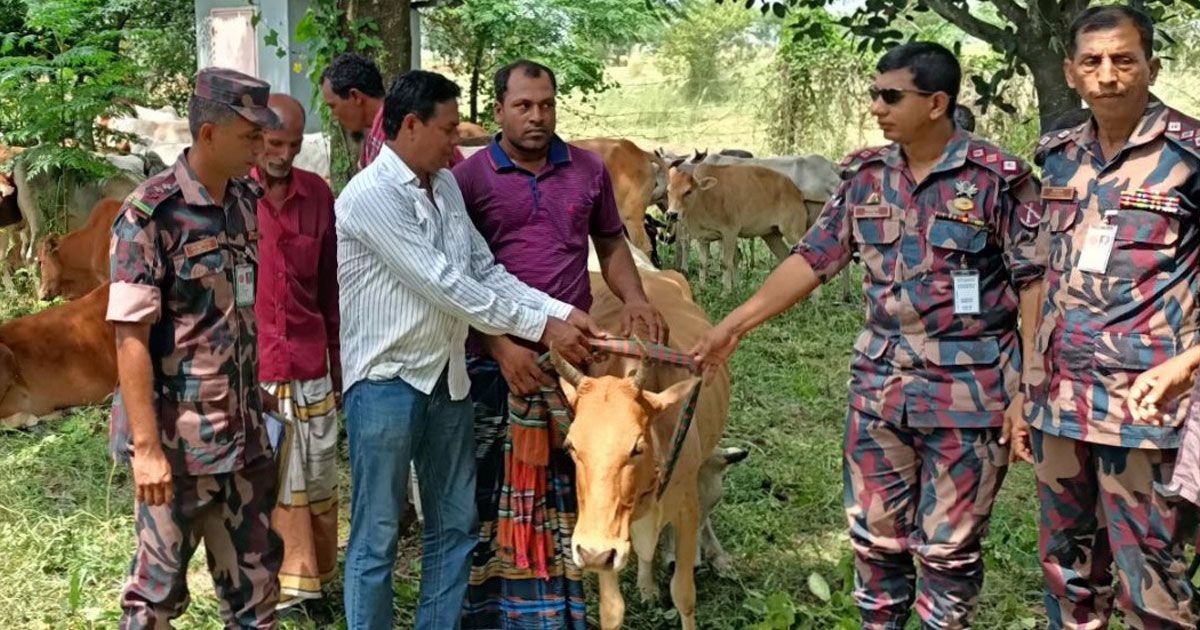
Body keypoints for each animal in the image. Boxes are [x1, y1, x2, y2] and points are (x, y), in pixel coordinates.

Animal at [559, 268, 729, 628]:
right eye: (571, 446)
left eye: (637, 446)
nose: (592, 553)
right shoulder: (600, 530)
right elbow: (612, 609)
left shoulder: (686, 506)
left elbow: (684, 594)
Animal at [667, 160, 806, 291]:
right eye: (668, 190)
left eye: (688, 191)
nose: (672, 214)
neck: (704, 198)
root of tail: (796, 190)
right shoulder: (703, 238)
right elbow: (703, 263)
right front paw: (702, 288)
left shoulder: (730, 232)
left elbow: (726, 263)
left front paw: (726, 291)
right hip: (771, 237)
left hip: (793, 232)